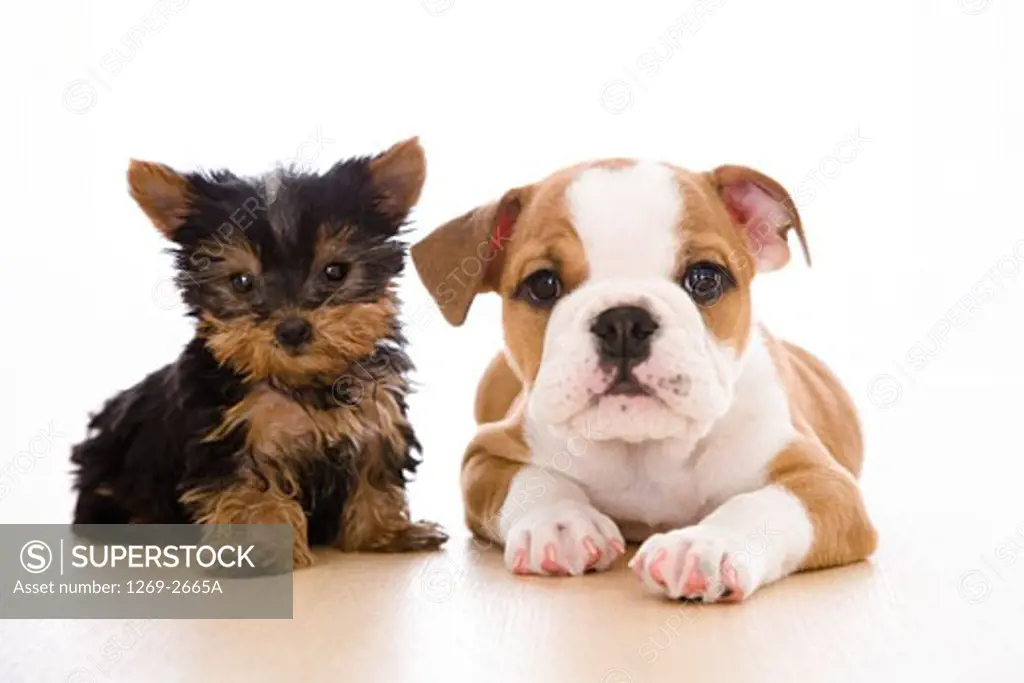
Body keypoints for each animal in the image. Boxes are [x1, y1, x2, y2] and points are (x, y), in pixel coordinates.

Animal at [68, 137, 444, 565]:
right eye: (242, 282)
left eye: (335, 272)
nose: (293, 329)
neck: (301, 382)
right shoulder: (232, 435)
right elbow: (250, 489)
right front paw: (260, 549)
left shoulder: (376, 413)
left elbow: (376, 474)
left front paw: (386, 533)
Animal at [411, 157, 876, 602]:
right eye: (542, 284)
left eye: (705, 278)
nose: (623, 322)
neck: (644, 449)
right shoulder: (488, 455)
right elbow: (533, 481)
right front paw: (560, 521)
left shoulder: (824, 484)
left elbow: (762, 506)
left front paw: (706, 545)